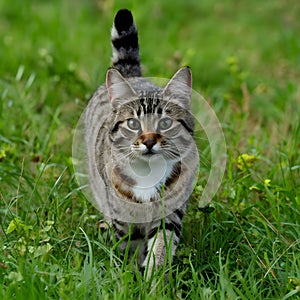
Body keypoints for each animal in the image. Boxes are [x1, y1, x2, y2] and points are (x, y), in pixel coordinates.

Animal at [83, 7, 199, 278]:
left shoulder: (170, 212)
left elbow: (161, 247)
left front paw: (153, 279)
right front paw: (130, 277)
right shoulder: (122, 215)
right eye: (133, 124)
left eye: (165, 123)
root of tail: (132, 75)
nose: (148, 141)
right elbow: (130, 246)